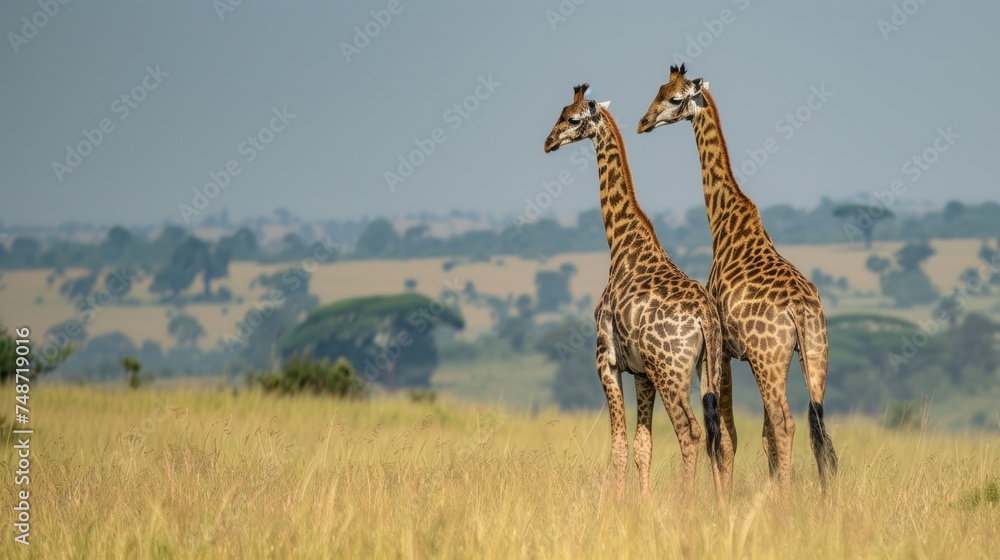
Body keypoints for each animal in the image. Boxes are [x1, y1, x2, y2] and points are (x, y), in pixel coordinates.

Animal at [544, 84, 728, 500]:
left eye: (573, 120)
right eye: (560, 114)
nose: (548, 142)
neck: (621, 241)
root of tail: (706, 319)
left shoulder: (607, 360)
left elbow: (619, 445)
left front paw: (617, 502)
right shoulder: (641, 372)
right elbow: (644, 445)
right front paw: (642, 503)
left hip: (671, 370)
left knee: (691, 432)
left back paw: (686, 501)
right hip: (707, 368)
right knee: (718, 434)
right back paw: (719, 503)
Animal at [637, 64, 838, 490]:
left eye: (674, 98)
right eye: (658, 90)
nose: (643, 122)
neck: (724, 218)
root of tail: (800, 309)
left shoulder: (727, 351)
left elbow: (728, 433)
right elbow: (757, 436)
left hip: (768, 358)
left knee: (785, 424)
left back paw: (785, 499)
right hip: (815, 352)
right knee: (816, 423)